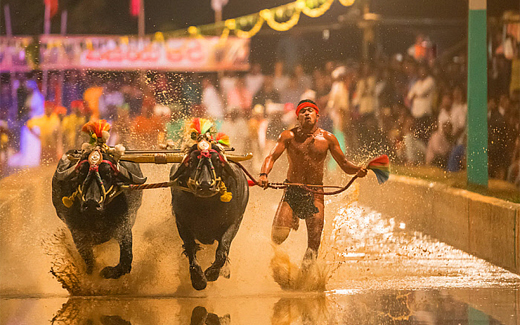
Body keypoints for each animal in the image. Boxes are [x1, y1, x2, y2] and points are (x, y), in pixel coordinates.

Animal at [171, 124, 250, 288]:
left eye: (217, 161)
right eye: (192, 161)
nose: (206, 185)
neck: (206, 208)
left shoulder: (234, 222)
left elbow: (223, 248)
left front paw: (212, 273)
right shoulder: (181, 222)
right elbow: (190, 247)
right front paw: (198, 279)